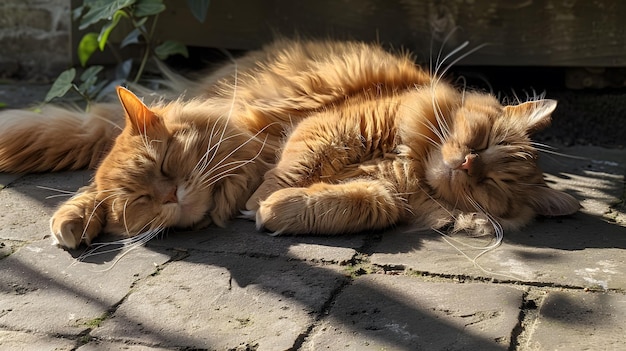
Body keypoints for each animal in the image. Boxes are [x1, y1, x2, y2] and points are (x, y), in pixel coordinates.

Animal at [0, 40, 576, 249]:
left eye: (494, 182)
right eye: (484, 141)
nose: (468, 163)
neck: (409, 166)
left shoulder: (385, 198)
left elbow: (336, 204)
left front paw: (273, 210)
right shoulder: (336, 125)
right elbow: (295, 165)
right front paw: (260, 197)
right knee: (99, 174)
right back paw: (72, 220)